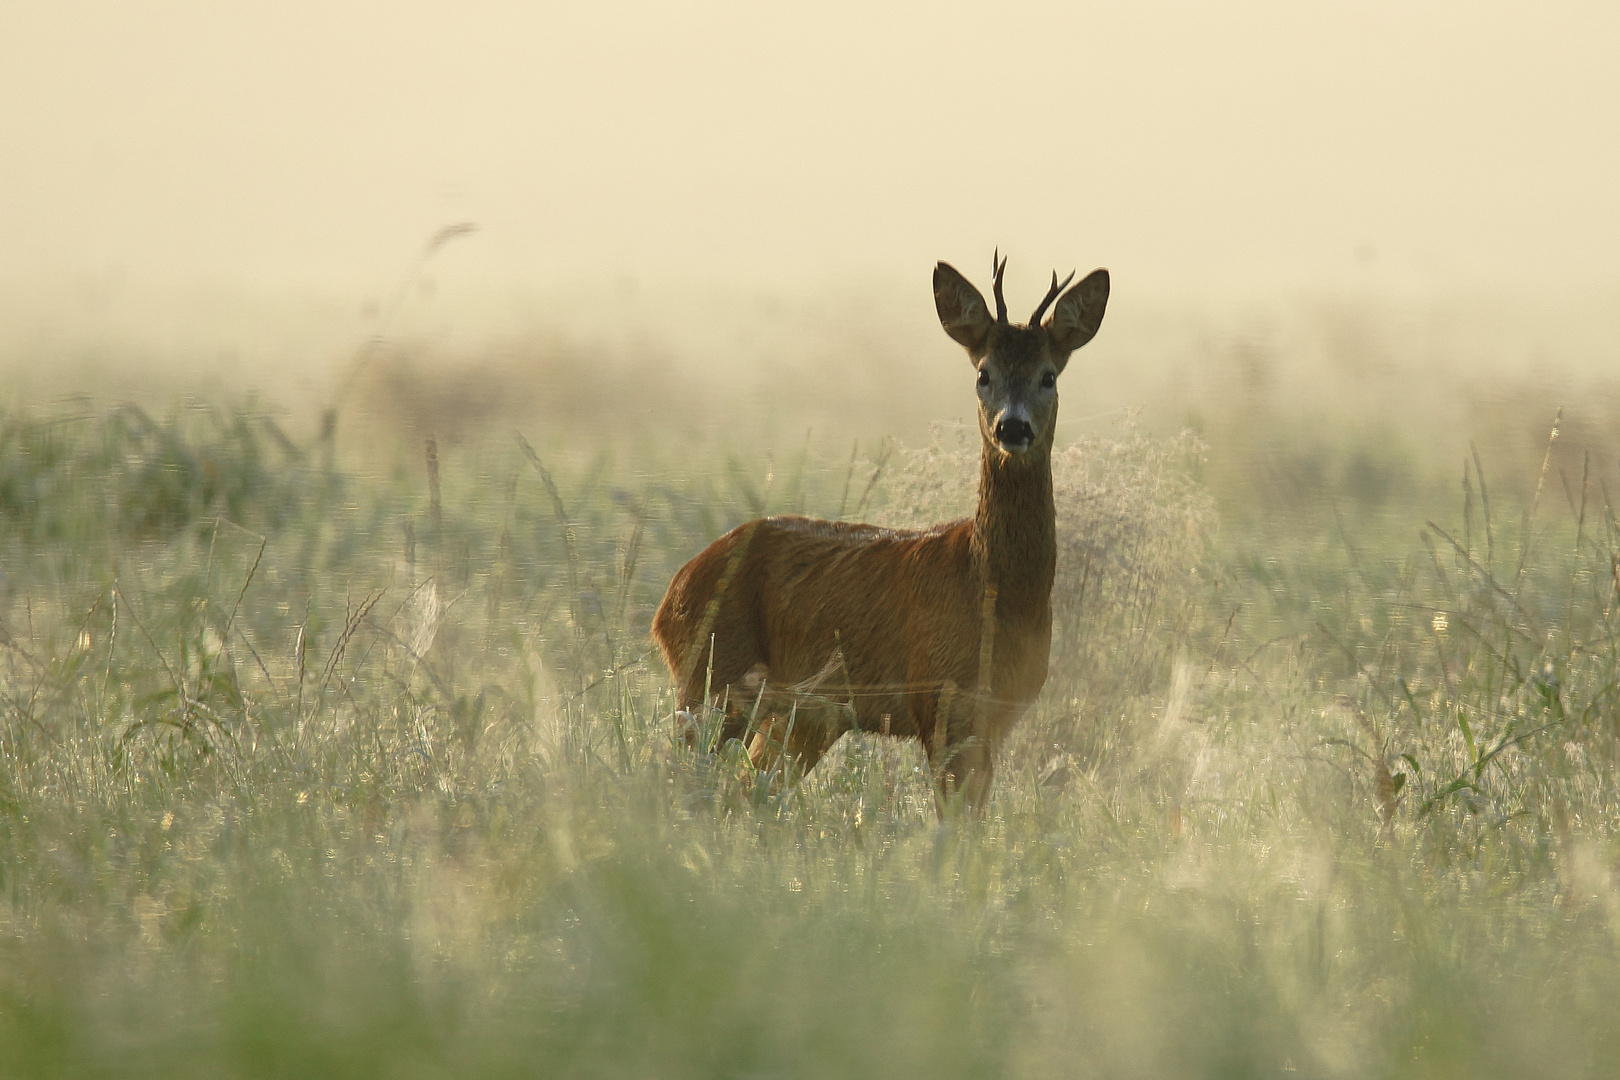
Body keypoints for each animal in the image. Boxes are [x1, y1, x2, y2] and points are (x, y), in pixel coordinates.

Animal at [651, 250, 1108, 809]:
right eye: (984, 374)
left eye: (1048, 376)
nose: (1013, 426)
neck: (996, 590)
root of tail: (672, 591)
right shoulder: (937, 695)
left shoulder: (997, 713)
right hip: (707, 674)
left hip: (801, 715)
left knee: (748, 786)